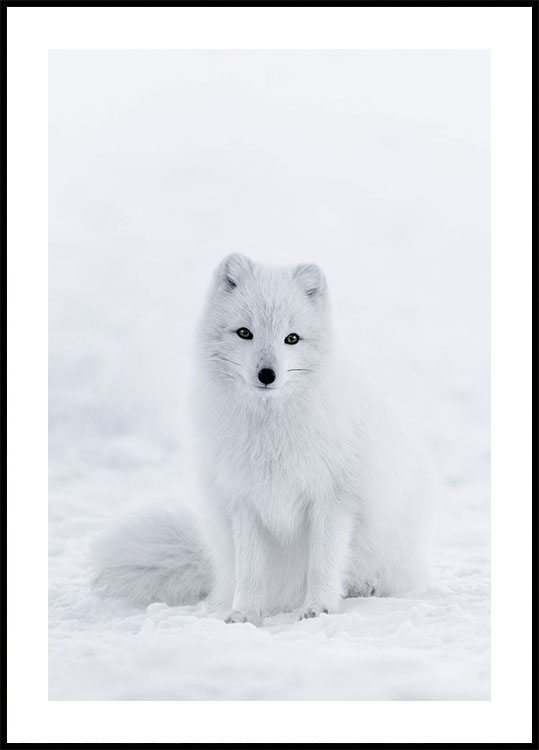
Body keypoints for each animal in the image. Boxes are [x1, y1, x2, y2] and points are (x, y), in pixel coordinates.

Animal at [94, 253, 437, 624]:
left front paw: (319, 607)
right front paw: (245, 613)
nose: (267, 374)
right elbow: (251, 570)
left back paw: (363, 587)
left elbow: (323, 562)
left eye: (292, 338)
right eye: (245, 332)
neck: (270, 431)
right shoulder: (244, 502)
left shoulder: (333, 499)